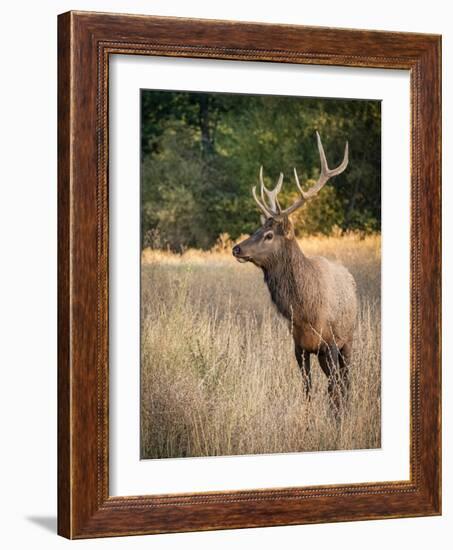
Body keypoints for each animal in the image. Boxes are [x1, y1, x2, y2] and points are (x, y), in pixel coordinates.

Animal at [233, 133, 356, 410]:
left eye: (269, 235)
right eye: (256, 229)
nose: (236, 248)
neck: (304, 310)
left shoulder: (331, 342)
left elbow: (333, 390)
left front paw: (336, 418)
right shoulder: (299, 345)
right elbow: (307, 389)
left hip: (350, 339)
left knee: (345, 382)